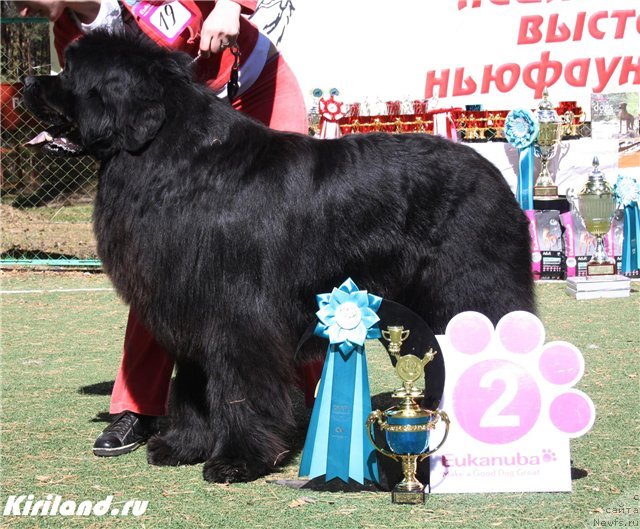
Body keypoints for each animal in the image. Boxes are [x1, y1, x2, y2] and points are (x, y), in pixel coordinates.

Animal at [23, 33, 536, 482]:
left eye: (69, 70)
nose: (27, 81)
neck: (176, 160)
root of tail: (492, 172)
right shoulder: (188, 306)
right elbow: (190, 384)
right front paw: (184, 445)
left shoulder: (237, 314)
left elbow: (236, 387)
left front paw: (236, 460)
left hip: (472, 285)